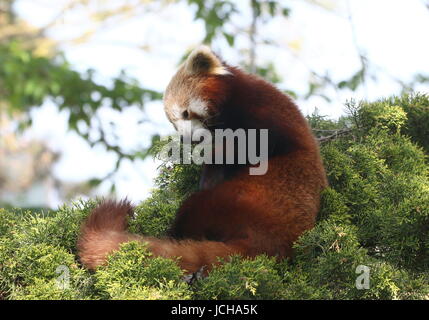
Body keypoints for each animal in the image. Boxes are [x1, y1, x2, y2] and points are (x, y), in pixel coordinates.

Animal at [77, 46, 326, 274]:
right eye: (173, 123)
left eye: (186, 113)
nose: (186, 138)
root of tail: (274, 243)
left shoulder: (262, 113)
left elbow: (253, 147)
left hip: (244, 200)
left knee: (196, 207)